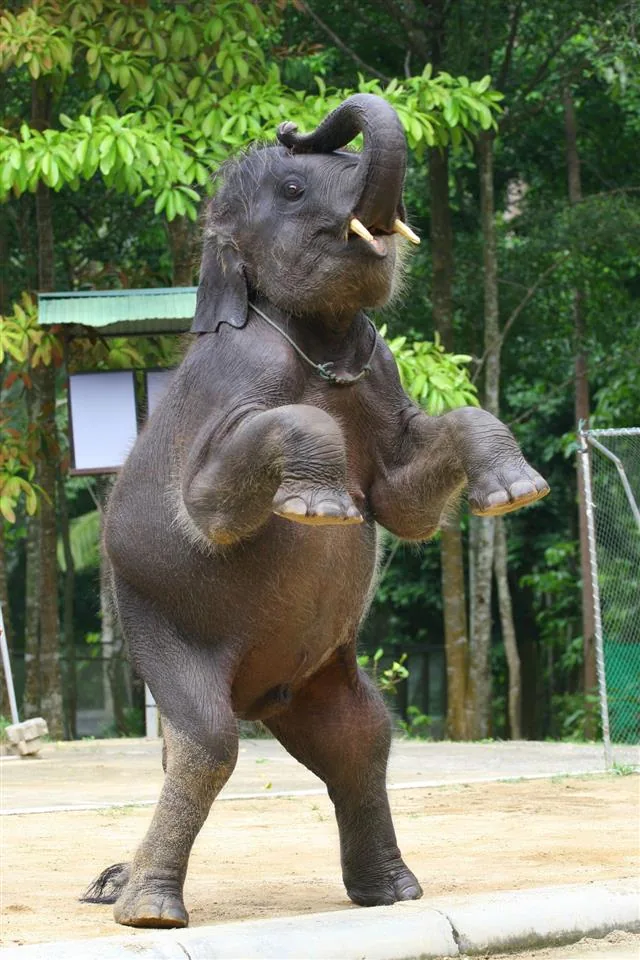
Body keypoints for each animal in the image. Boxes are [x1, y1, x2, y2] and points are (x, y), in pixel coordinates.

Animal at [82, 93, 549, 929]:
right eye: (295, 189)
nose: (293, 126)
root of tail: (258, 695)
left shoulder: (381, 367)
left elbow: (404, 504)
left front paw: (516, 493)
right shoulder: (233, 380)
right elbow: (207, 511)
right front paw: (322, 507)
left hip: (316, 675)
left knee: (361, 737)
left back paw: (391, 892)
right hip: (152, 618)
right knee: (208, 739)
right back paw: (145, 910)